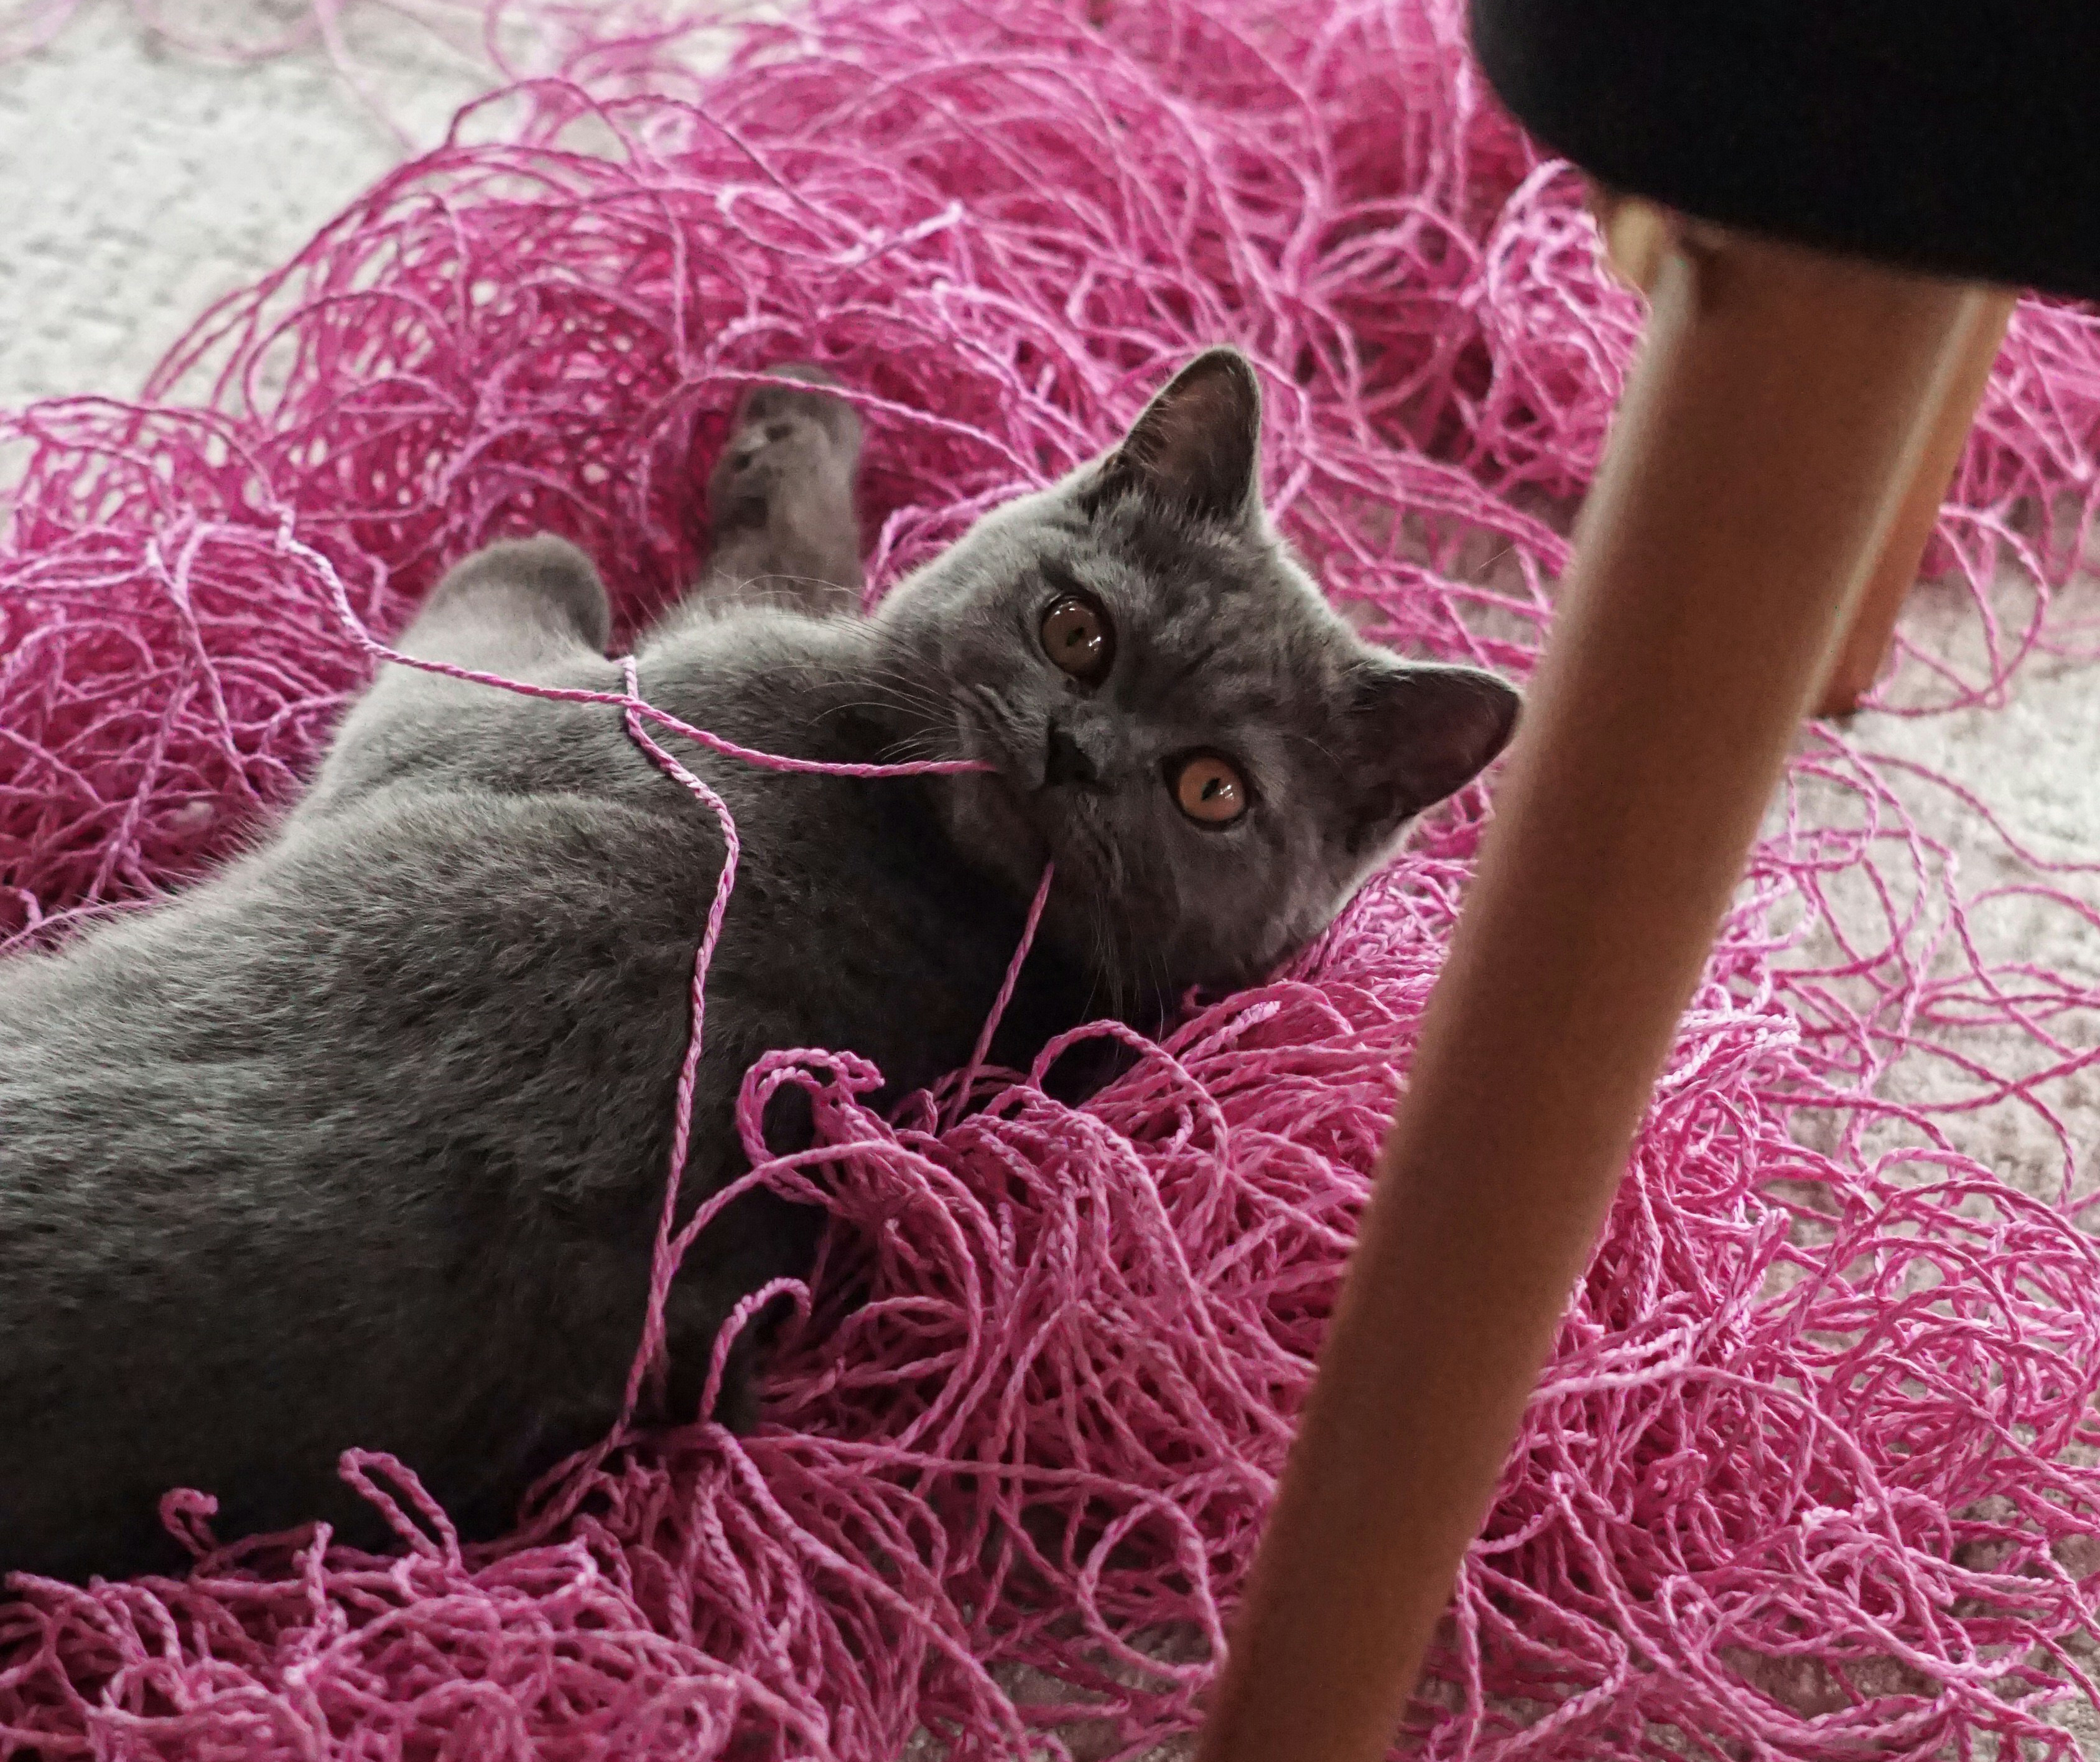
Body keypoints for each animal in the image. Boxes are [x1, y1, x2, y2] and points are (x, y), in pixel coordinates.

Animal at [0, 344, 1520, 1587]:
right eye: (1075, 628)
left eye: (1211, 789)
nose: (1075, 749)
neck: (941, 865)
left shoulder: (545, 705)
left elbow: (551, 582)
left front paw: (756, 448)